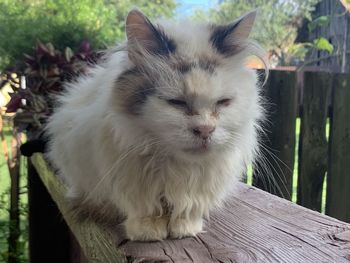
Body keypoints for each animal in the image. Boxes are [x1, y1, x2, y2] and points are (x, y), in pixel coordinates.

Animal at [45, 9, 266, 241]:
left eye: (223, 102)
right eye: (176, 102)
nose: (205, 129)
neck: (177, 166)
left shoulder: (199, 186)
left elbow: (188, 208)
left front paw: (185, 229)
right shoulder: (130, 180)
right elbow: (145, 208)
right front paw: (148, 232)